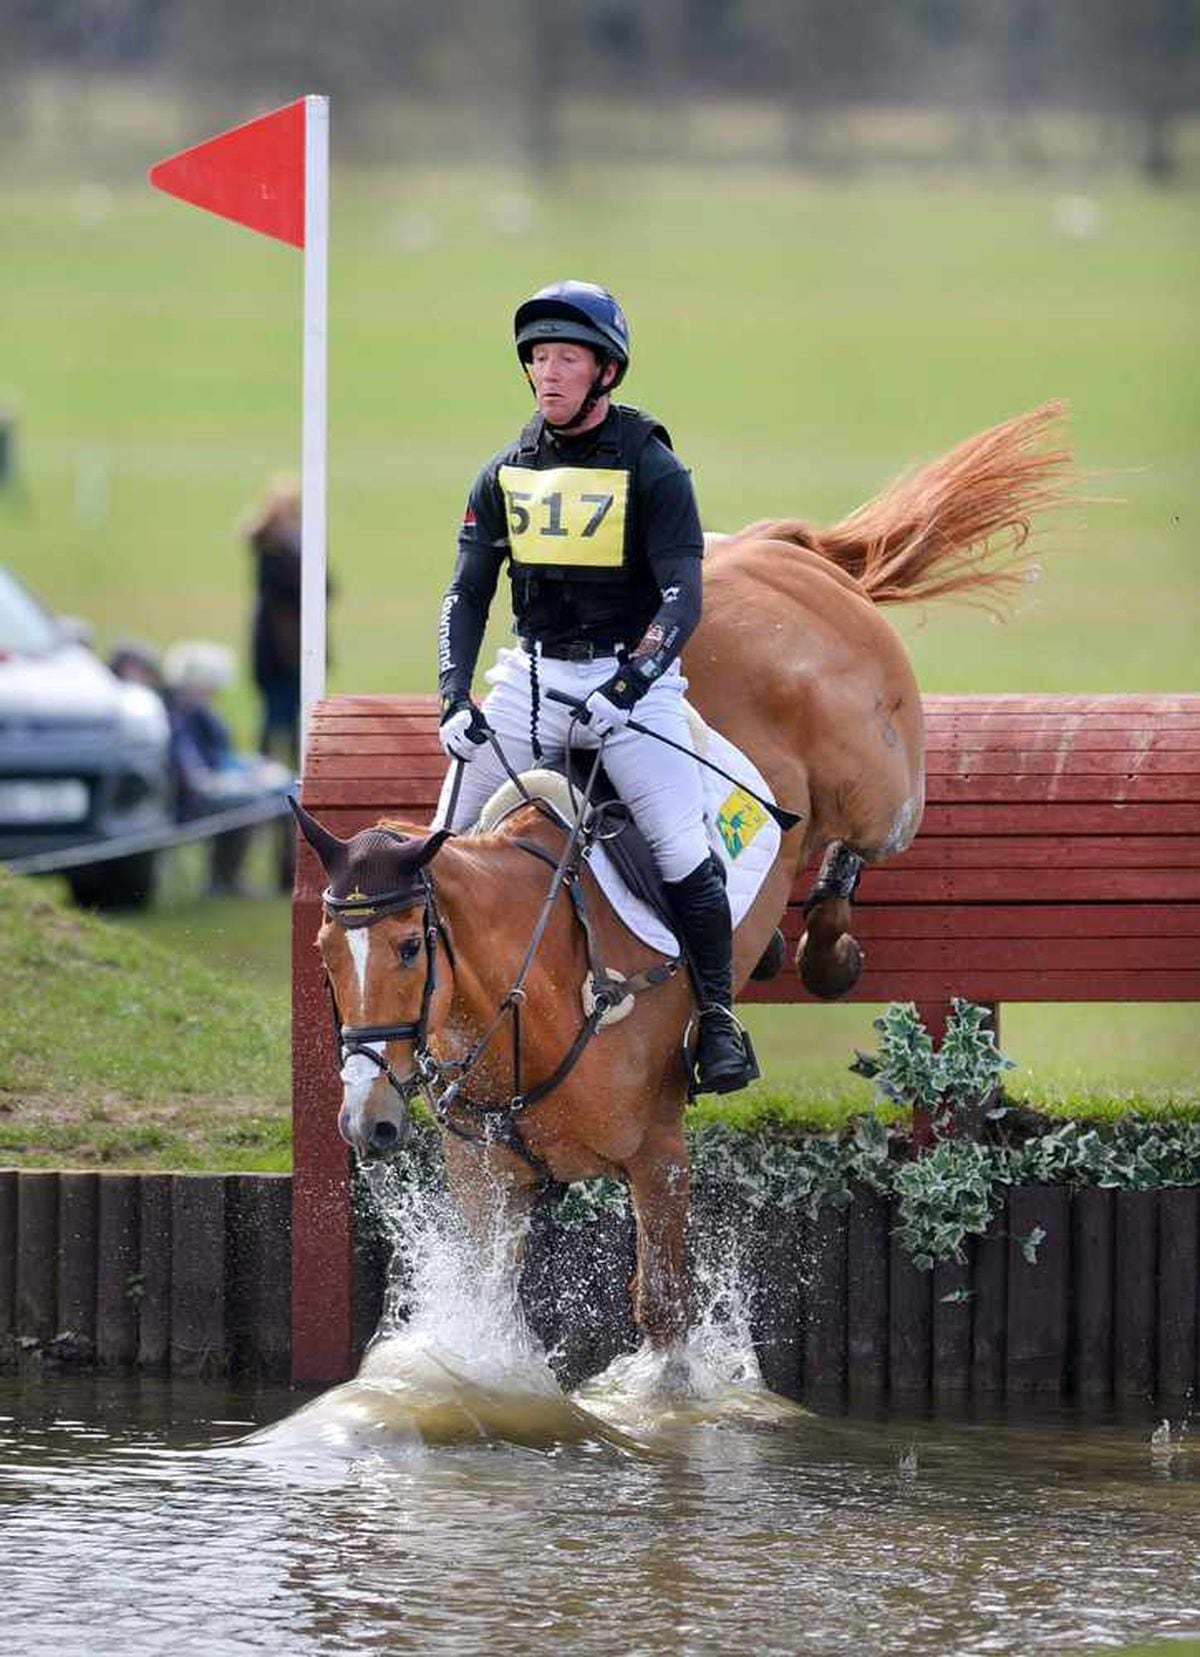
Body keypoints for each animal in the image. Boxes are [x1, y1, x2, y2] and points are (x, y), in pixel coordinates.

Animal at [290, 404, 1067, 1358]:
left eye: (408, 947)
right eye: (327, 954)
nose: (366, 1122)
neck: (536, 989)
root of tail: (781, 552)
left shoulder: (657, 1156)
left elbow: (663, 1315)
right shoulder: (484, 1177)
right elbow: (488, 1317)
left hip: (882, 781)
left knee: (858, 842)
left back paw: (827, 949)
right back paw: (766, 943)